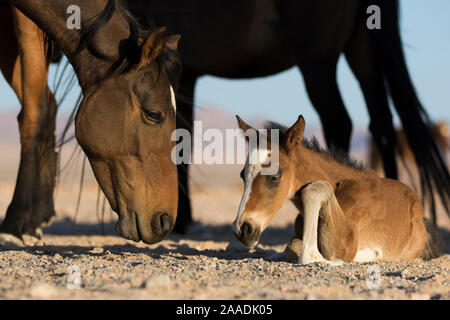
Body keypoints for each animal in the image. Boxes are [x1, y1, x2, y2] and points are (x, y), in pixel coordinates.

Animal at [125, 0, 450, 230]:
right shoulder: (188, 72)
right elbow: (184, 138)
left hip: (316, 59)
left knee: (339, 119)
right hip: (364, 50)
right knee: (381, 124)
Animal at [234, 114, 442, 262]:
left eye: (274, 178)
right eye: (243, 175)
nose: (243, 230)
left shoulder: (346, 246)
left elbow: (306, 252)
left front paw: (370, 254)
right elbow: (289, 247)